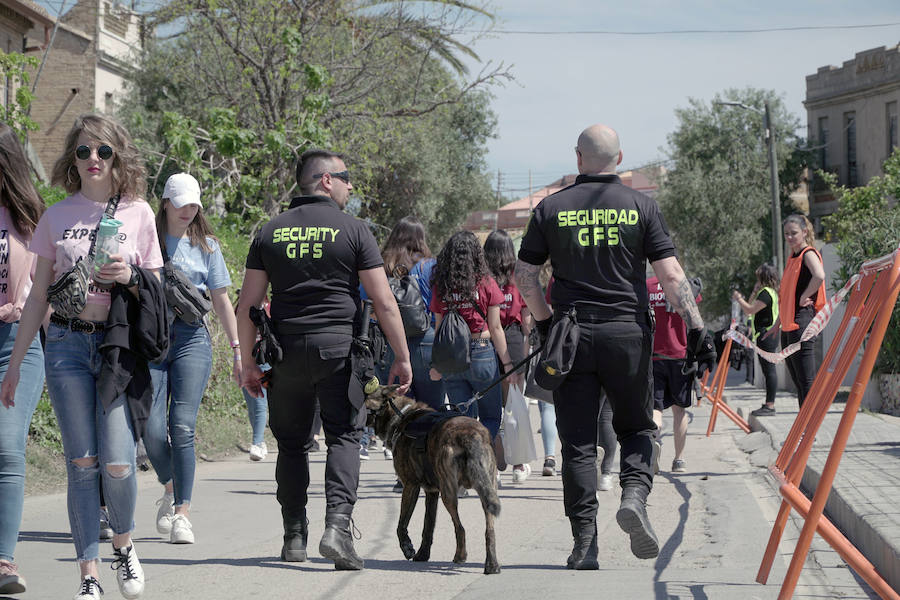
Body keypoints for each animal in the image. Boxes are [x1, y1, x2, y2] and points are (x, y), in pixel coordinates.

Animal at [368, 386, 506, 576]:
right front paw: (422, 554)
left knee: (460, 527)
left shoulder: (410, 486)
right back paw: (492, 565)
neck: (401, 417)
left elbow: (401, 523)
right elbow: (428, 526)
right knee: (489, 530)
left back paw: (460, 556)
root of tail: (470, 436)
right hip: (488, 491)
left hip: (449, 494)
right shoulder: (432, 492)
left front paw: (408, 548)